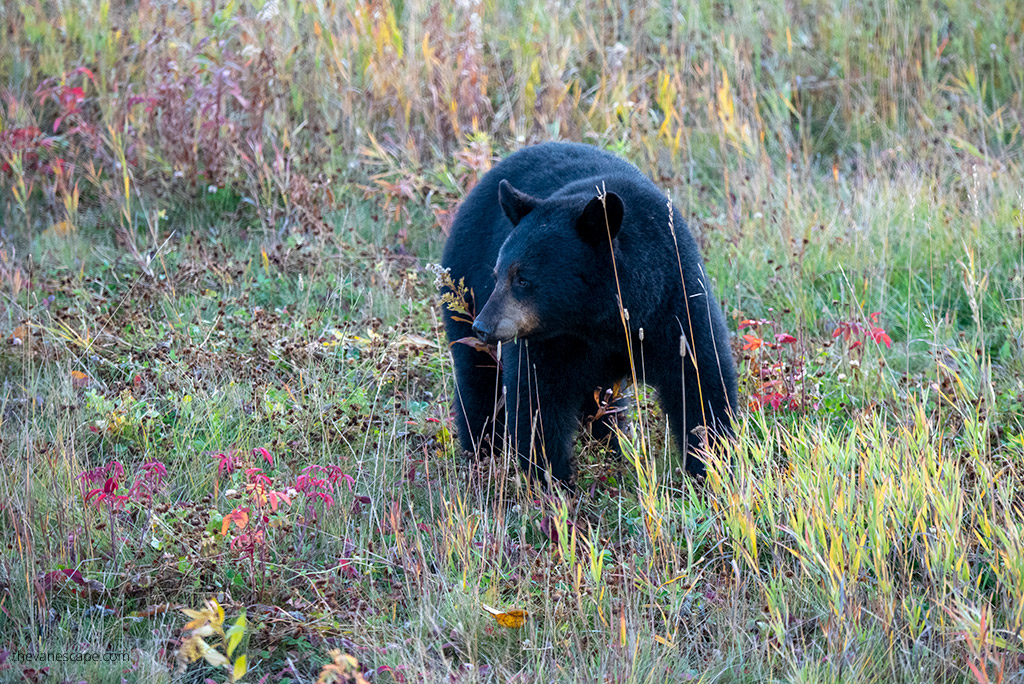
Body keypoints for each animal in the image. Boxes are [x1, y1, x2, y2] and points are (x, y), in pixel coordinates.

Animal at [440, 143, 737, 485]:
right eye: (498, 273)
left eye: (523, 279)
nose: (483, 327)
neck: (601, 319)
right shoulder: (553, 339)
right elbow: (538, 398)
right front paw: (551, 479)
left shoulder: (675, 302)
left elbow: (700, 380)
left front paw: (712, 467)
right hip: (463, 284)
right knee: (479, 381)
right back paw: (481, 452)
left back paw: (612, 446)